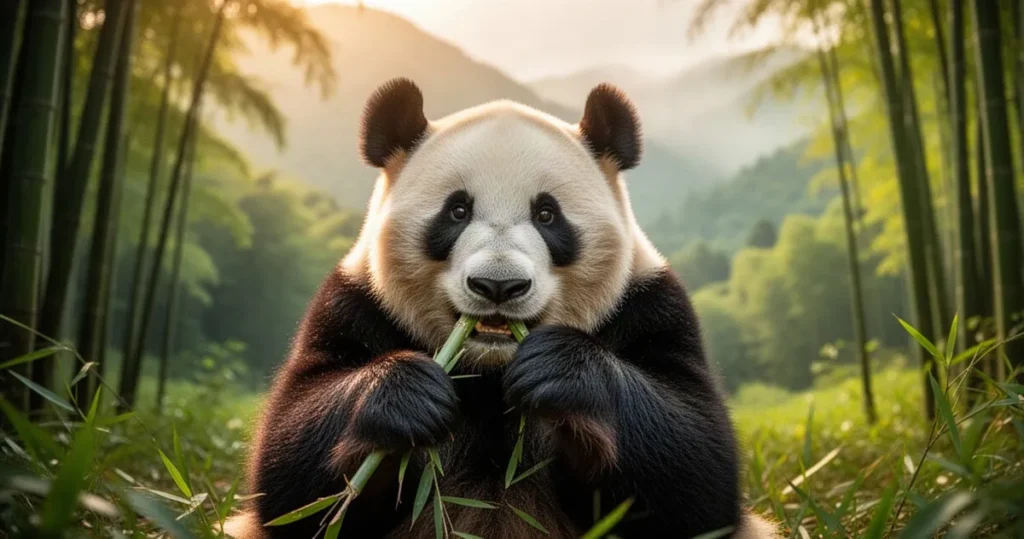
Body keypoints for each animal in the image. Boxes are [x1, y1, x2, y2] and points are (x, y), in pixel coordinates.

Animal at [225, 78, 778, 539]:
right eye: (457, 210)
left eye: (547, 214)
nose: (498, 285)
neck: (489, 370)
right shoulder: (356, 303)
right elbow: (291, 476)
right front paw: (409, 393)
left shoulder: (649, 304)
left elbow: (695, 469)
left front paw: (559, 370)